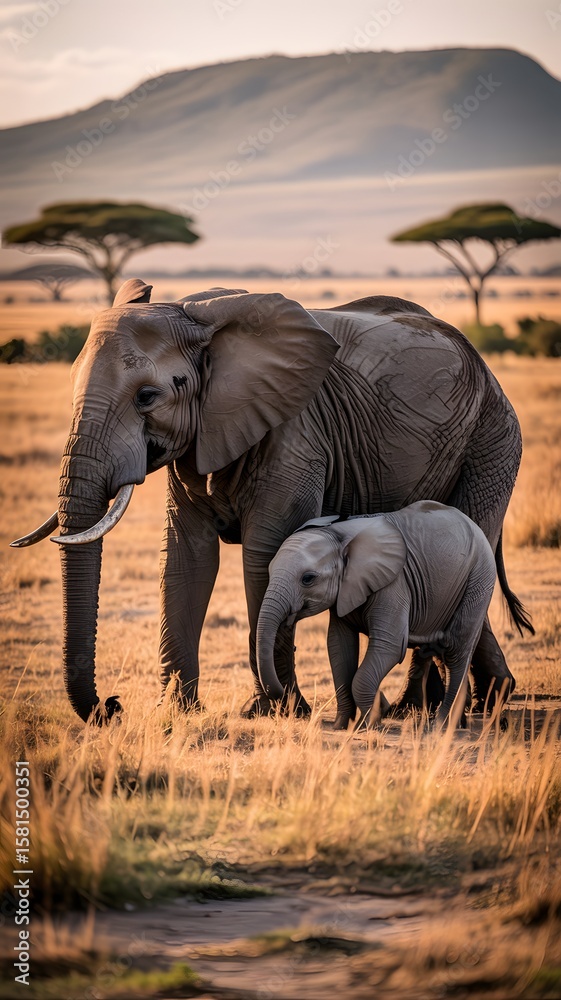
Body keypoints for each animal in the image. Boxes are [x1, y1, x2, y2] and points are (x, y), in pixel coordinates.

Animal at [256, 502, 498, 730]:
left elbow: (388, 646)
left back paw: (440, 726)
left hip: (479, 577)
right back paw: (453, 724)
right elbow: (339, 647)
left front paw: (368, 725)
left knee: (455, 650)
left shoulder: (395, 585)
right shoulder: (345, 591)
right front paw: (341, 726)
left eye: (307, 579)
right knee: (442, 653)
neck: (338, 534)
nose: (281, 694)